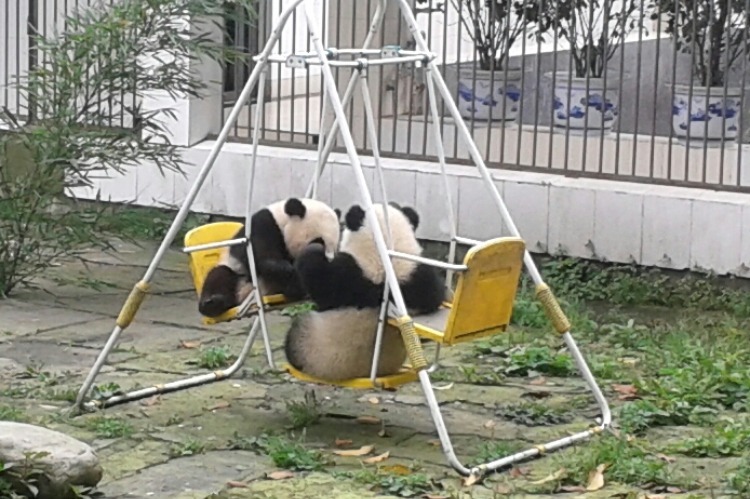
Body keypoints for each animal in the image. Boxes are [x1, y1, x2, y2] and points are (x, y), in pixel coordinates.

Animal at [198, 197, 341, 318]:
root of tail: (243, 297)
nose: (329, 260)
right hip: (234, 270)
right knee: (220, 274)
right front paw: (288, 271)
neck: (282, 221)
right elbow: (263, 258)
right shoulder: (263, 226)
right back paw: (212, 303)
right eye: (319, 240)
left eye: (334, 246)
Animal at [283, 202, 445, 381]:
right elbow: (434, 297)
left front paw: (314, 249)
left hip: (313, 345)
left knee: (295, 336)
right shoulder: (418, 275)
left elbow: (316, 271)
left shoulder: (344, 276)